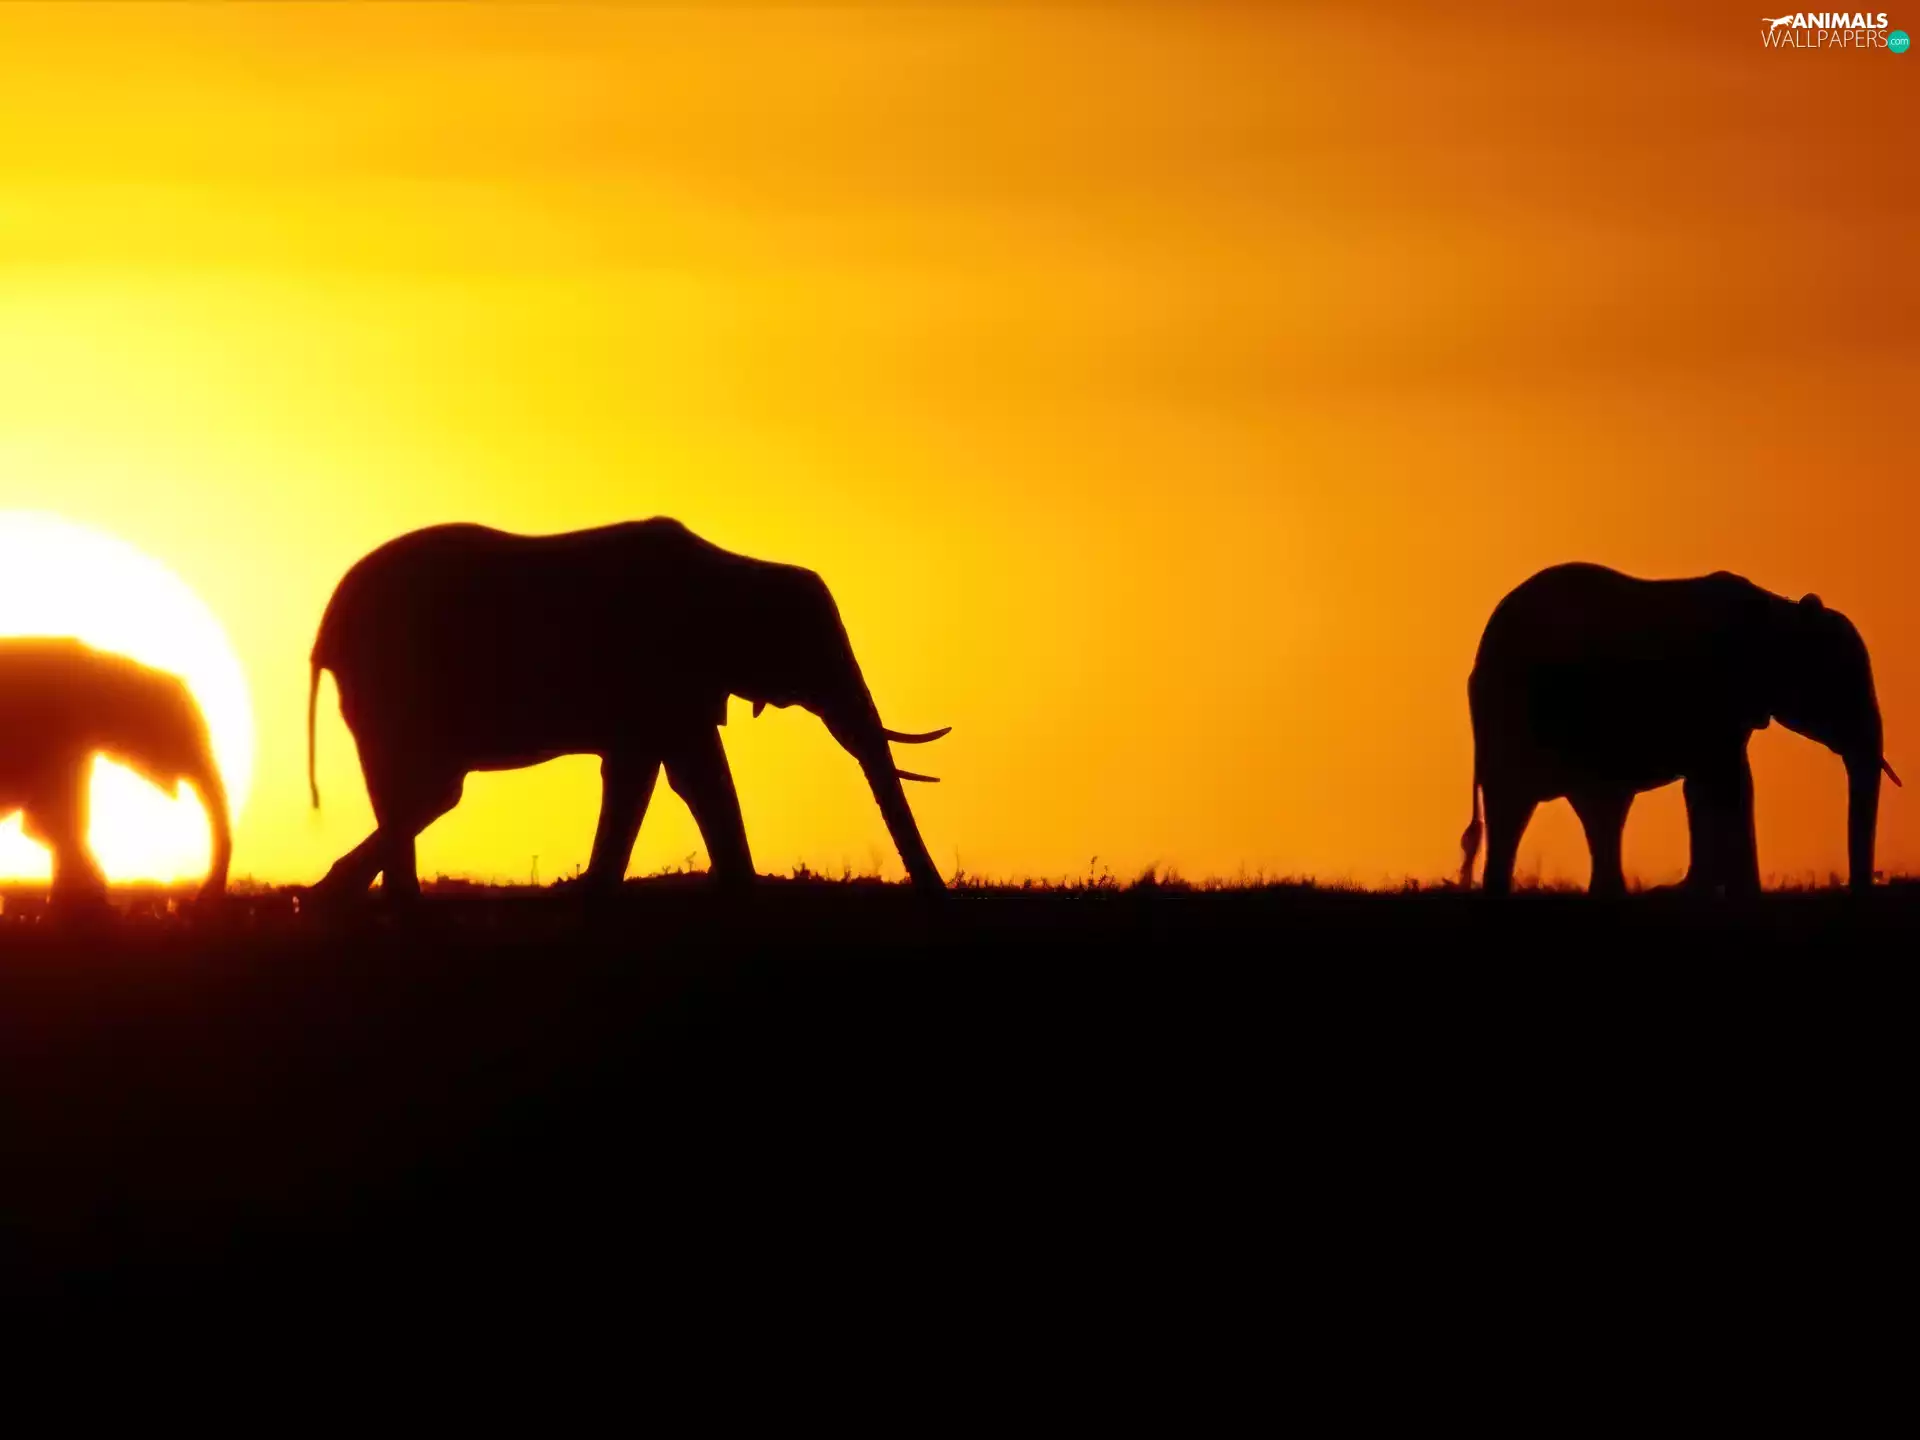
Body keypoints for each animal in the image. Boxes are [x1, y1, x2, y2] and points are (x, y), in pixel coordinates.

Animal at [305, 518, 951, 903]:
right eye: (812, 650)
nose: (937, 892)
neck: (737, 567)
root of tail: (326, 631)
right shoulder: (658, 667)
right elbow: (686, 772)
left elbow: (660, 772)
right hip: (393, 681)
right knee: (429, 788)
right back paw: (352, 900)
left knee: (421, 790)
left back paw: (351, 899)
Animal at [1459, 563, 1899, 896]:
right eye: (1840, 685)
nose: (1859, 888)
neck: (1780, 611)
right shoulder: (1718, 692)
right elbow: (1732, 782)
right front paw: (1737, 895)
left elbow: (1708, 785)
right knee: (1537, 802)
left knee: (1578, 808)